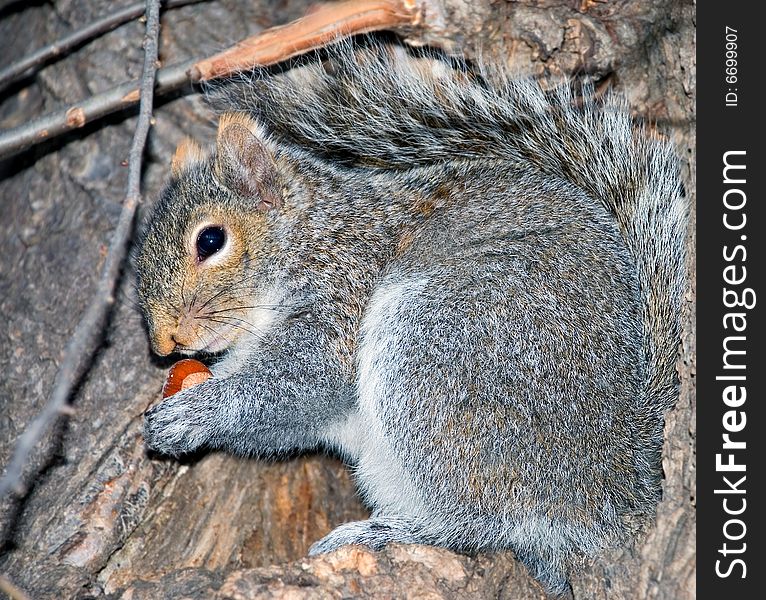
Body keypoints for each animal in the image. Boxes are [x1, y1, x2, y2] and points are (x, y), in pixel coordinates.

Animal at [132, 38, 688, 596]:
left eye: (210, 240)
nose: (162, 344)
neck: (309, 235)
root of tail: (620, 482)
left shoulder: (341, 291)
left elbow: (303, 381)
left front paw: (190, 415)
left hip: (435, 356)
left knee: (488, 521)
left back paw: (387, 533)